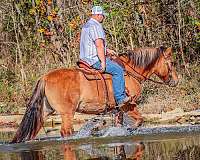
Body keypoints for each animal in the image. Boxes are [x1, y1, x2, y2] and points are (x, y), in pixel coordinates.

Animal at [11, 46, 179, 142]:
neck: (130, 72)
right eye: (171, 63)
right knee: (66, 131)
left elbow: (120, 125)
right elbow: (139, 120)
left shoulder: (118, 110)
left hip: (44, 112)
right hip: (67, 113)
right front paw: (130, 130)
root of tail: (45, 77)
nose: (176, 81)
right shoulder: (128, 105)